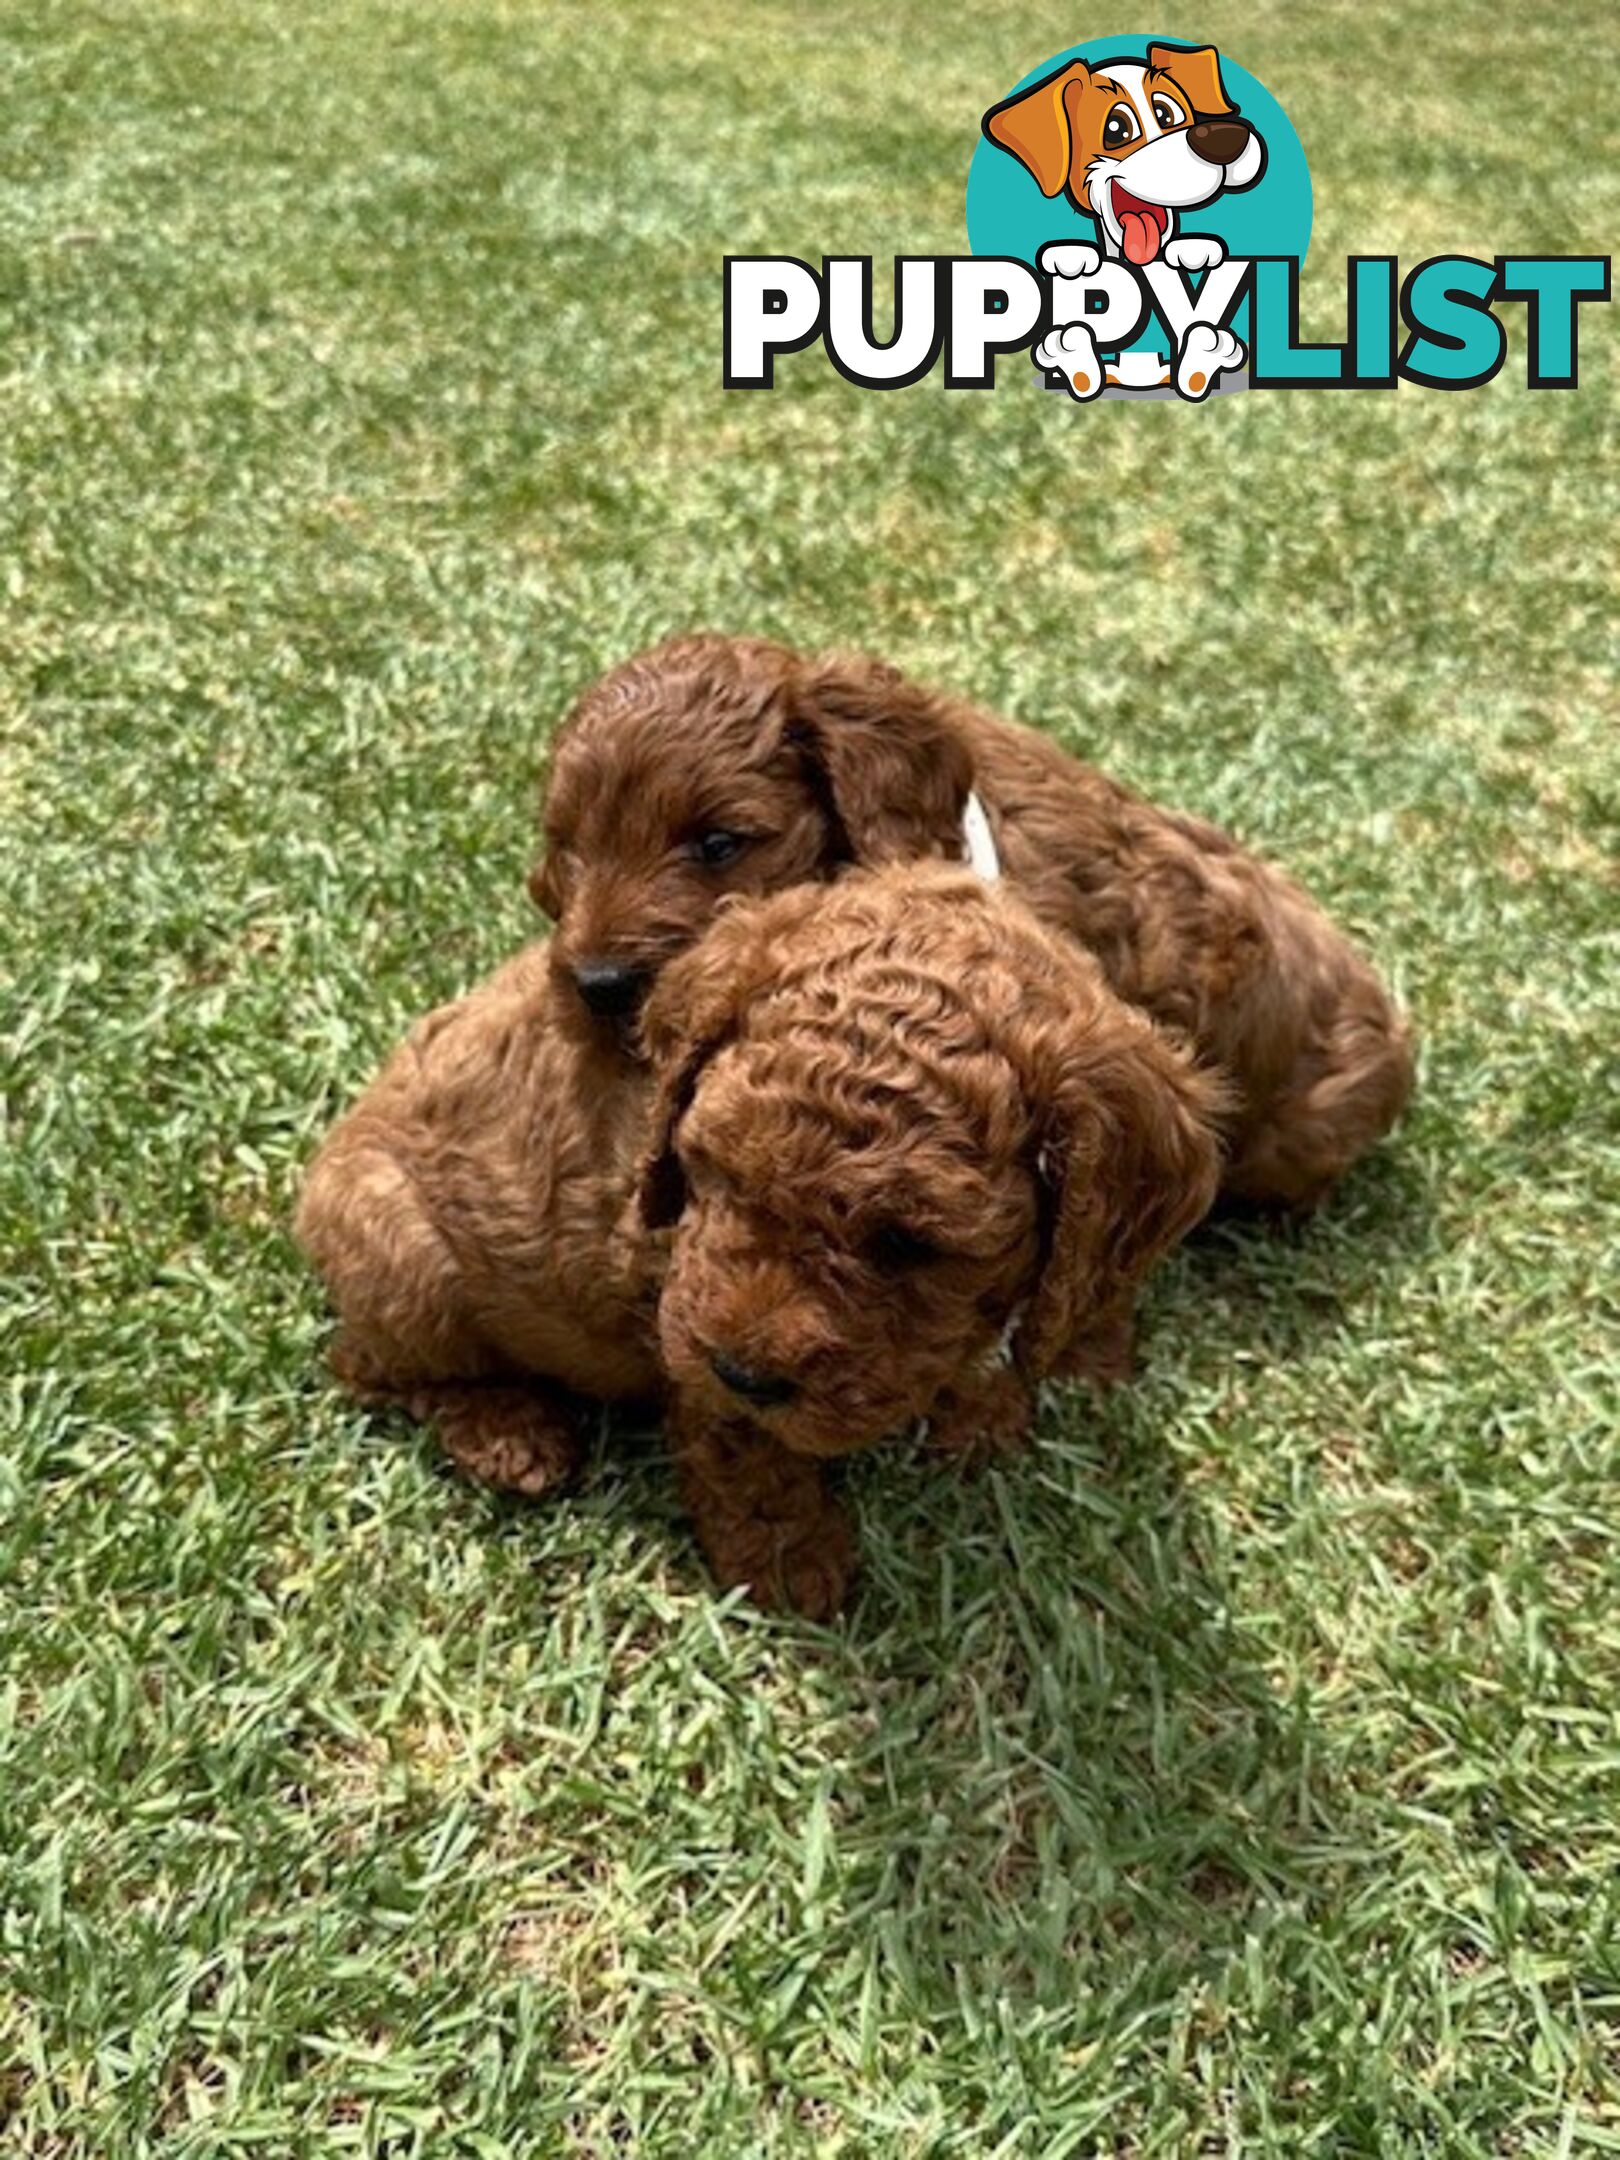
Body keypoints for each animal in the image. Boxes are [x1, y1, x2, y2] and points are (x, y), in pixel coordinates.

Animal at [298, 868, 1226, 1615]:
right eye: (711, 1171)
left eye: (911, 1244)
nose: (746, 1371)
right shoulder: (673, 1298)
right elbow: (740, 1441)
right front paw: (789, 1557)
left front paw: (978, 1404)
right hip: (404, 1256)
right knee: (371, 1367)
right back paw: (507, 1431)